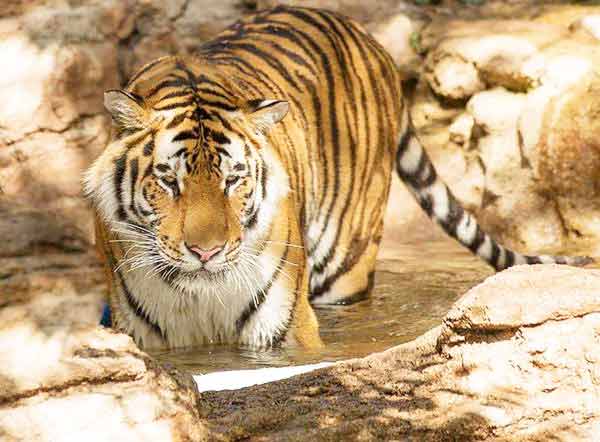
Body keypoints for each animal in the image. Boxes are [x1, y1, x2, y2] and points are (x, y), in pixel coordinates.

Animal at [83, 3, 592, 348]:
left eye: (233, 181)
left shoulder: (288, 327)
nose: (206, 252)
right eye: (169, 181)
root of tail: (368, 38)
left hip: (346, 264)